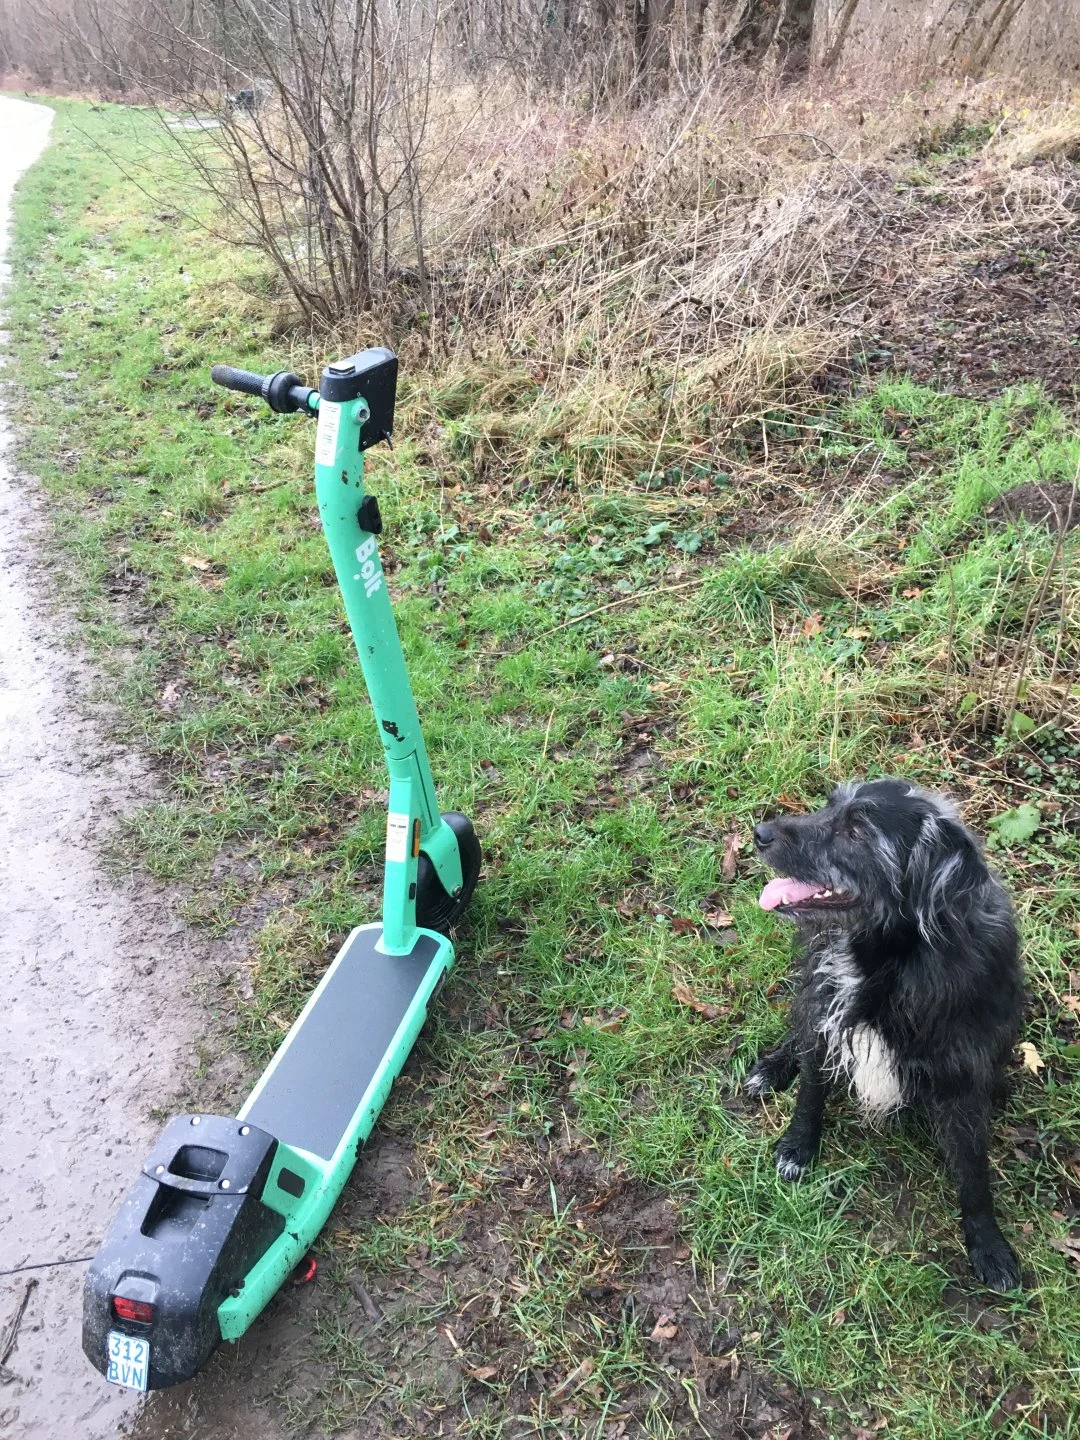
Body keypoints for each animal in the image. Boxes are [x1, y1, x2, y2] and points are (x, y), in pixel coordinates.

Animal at [746, 779, 1024, 1291]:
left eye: (856, 832)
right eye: (829, 806)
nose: (760, 833)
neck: (886, 962)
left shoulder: (960, 1071)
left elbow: (974, 1169)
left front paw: (988, 1243)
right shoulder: (824, 1015)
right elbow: (810, 1091)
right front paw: (798, 1146)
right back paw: (772, 1067)